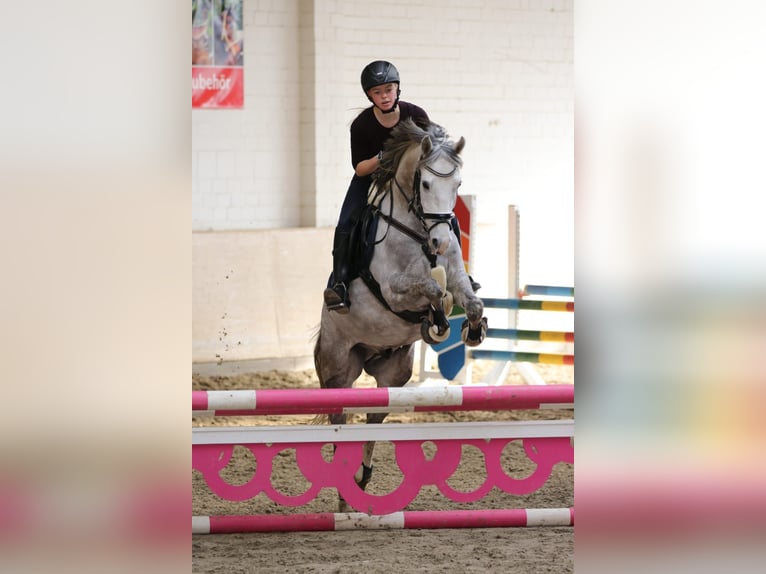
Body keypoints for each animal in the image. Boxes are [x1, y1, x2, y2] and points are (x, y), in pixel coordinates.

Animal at [316, 120, 488, 512]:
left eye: (458, 185)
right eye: (425, 184)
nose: (441, 242)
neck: (419, 232)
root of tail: (367, 356)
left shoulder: (458, 276)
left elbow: (470, 301)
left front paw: (472, 331)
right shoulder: (394, 289)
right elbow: (433, 289)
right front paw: (437, 324)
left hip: (393, 372)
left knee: (374, 418)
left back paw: (360, 478)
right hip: (337, 368)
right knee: (339, 419)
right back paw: (344, 488)